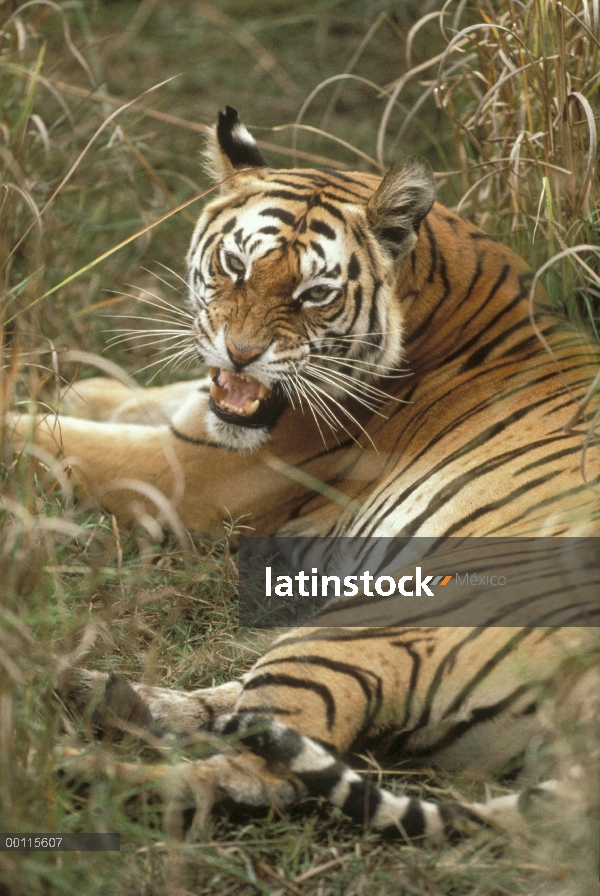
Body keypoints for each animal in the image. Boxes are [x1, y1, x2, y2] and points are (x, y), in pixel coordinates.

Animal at [9, 107, 600, 856]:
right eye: (235, 266)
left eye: (315, 294)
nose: (240, 354)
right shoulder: (196, 420)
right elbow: (105, 401)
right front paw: (62, 384)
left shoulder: (193, 475)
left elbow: (45, 439)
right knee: (240, 717)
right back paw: (96, 690)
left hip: (370, 621)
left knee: (259, 770)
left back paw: (82, 770)